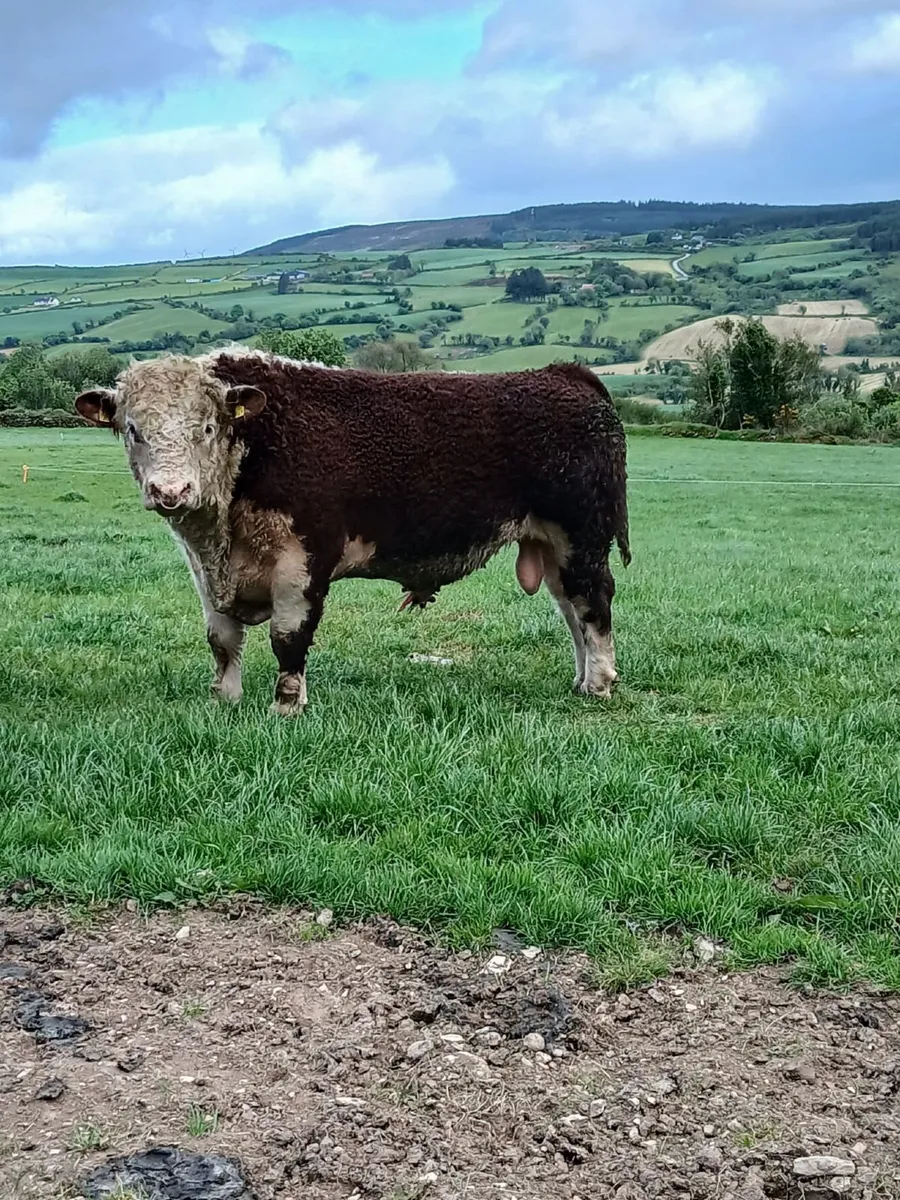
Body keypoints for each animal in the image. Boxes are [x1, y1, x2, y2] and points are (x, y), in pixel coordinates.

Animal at [74, 348, 631, 716]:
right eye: (133, 429)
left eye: (207, 428)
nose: (171, 490)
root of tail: (564, 374)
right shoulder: (206, 571)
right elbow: (222, 640)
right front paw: (226, 700)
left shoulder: (303, 560)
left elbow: (288, 638)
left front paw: (286, 708)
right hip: (551, 543)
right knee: (570, 607)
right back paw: (581, 679)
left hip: (582, 534)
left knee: (594, 602)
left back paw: (600, 682)